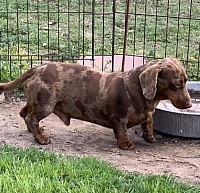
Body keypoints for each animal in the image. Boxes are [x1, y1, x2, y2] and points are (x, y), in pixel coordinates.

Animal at [0, 57, 191, 149]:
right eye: (176, 85)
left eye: (186, 81)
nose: (189, 105)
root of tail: (37, 68)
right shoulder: (119, 117)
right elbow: (122, 130)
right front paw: (125, 144)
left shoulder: (146, 113)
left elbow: (149, 120)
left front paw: (149, 135)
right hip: (45, 104)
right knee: (30, 118)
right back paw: (40, 137)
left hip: (36, 101)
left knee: (24, 113)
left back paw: (36, 131)